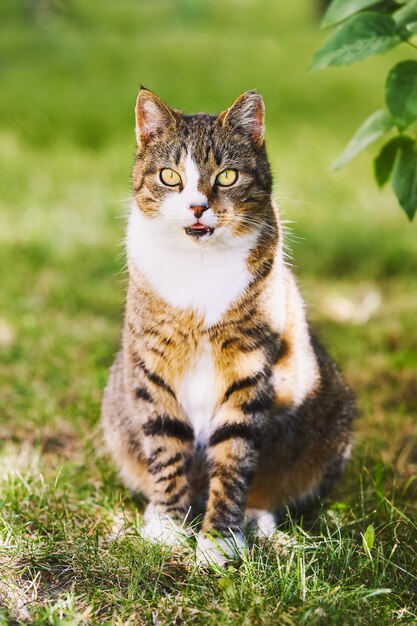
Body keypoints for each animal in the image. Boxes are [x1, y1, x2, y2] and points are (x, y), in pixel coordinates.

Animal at [100, 86, 352, 564]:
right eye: (170, 177)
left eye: (228, 177)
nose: (198, 206)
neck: (199, 267)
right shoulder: (154, 364)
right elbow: (166, 446)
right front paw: (168, 525)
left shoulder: (249, 367)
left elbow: (234, 457)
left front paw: (219, 539)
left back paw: (258, 522)